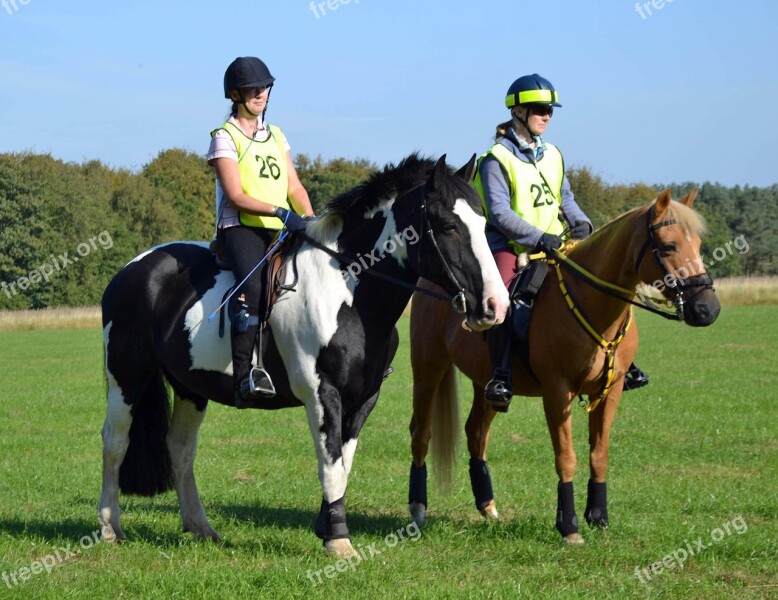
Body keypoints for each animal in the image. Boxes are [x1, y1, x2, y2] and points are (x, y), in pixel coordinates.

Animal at [97, 155, 510, 556]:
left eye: (482, 223)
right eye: (449, 226)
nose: (496, 305)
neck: (349, 290)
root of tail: (133, 268)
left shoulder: (363, 398)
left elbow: (343, 464)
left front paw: (328, 526)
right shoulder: (321, 394)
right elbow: (329, 466)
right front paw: (338, 541)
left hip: (191, 387)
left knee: (180, 449)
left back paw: (200, 527)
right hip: (127, 376)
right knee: (115, 442)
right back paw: (109, 528)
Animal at [410, 191, 720, 544]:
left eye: (698, 243)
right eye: (668, 246)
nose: (707, 308)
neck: (593, 303)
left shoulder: (610, 392)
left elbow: (599, 454)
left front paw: (598, 516)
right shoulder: (558, 393)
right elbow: (566, 457)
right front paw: (569, 526)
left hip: (486, 384)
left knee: (476, 433)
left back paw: (488, 507)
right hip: (428, 369)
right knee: (421, 433)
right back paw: (417, 509)